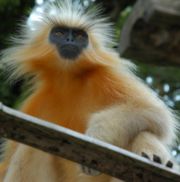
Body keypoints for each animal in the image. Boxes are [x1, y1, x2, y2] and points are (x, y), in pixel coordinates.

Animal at [0, 0, 178, 181]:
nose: (70, 39)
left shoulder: (106, 77)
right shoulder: (36, 103)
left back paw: (156, 159)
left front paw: (97, 136)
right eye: (59, 33)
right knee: (29, 148)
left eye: (80, 36)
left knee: (142, 129)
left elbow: (154, 112)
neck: (68, 80)